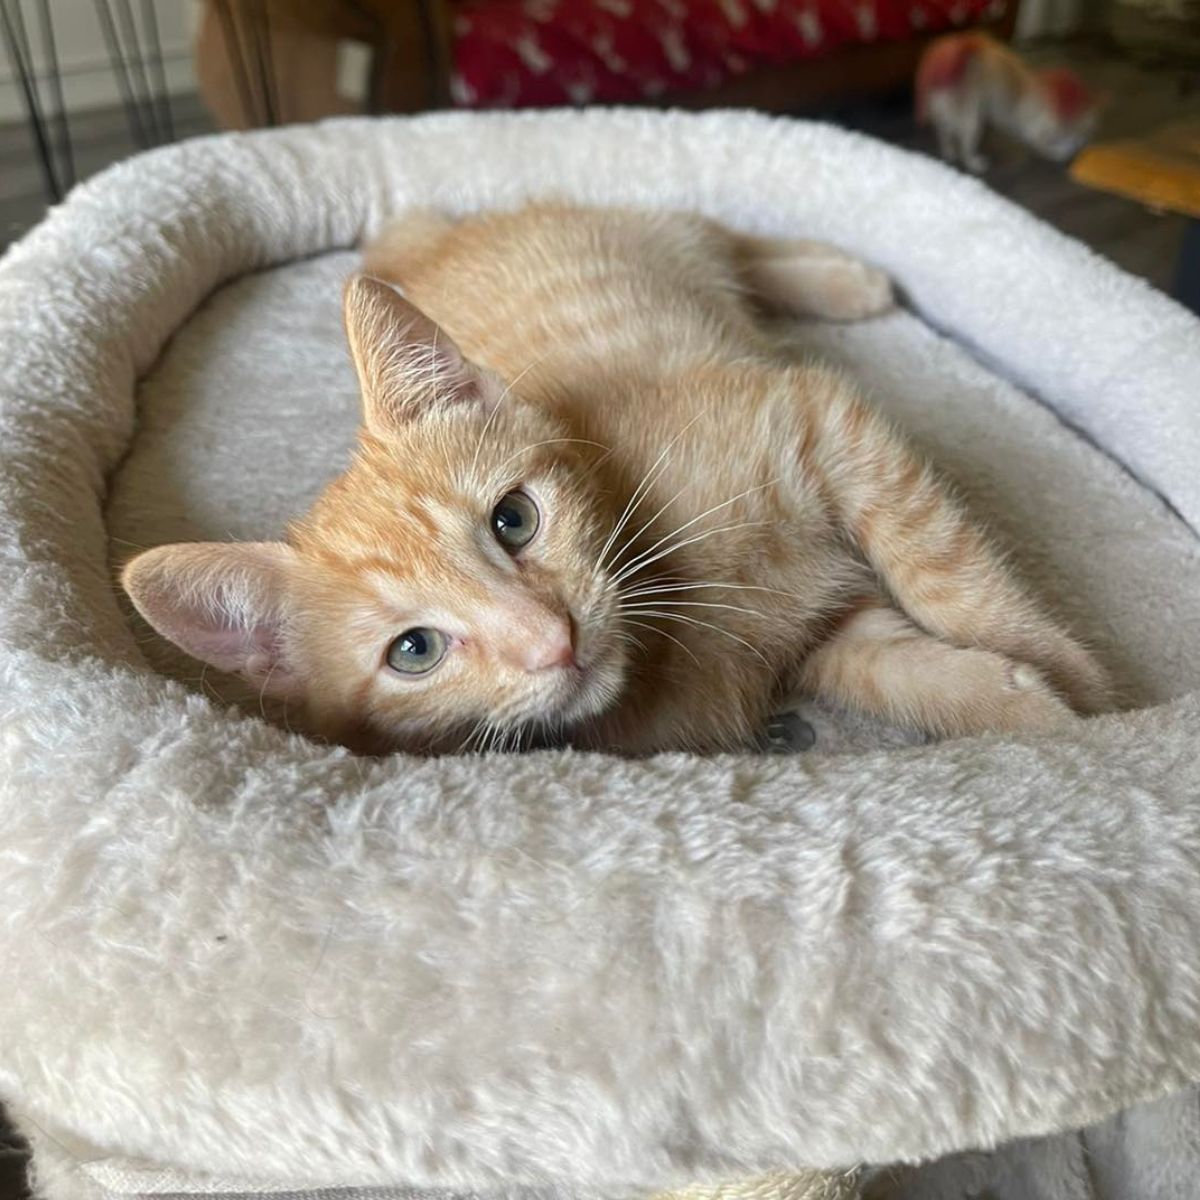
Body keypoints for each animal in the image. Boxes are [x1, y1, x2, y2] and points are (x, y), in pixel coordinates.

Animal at [119, 204, 1104, 748]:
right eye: (415, 651)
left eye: (514, 520)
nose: (552, 641)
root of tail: (425, 247)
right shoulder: (817, 637)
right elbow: (898, 669)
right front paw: (1027, 710)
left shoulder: (814, 417)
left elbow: (947, 575)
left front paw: (1079, 687)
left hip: (655, 234)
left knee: (724, 234)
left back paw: (844, 277)